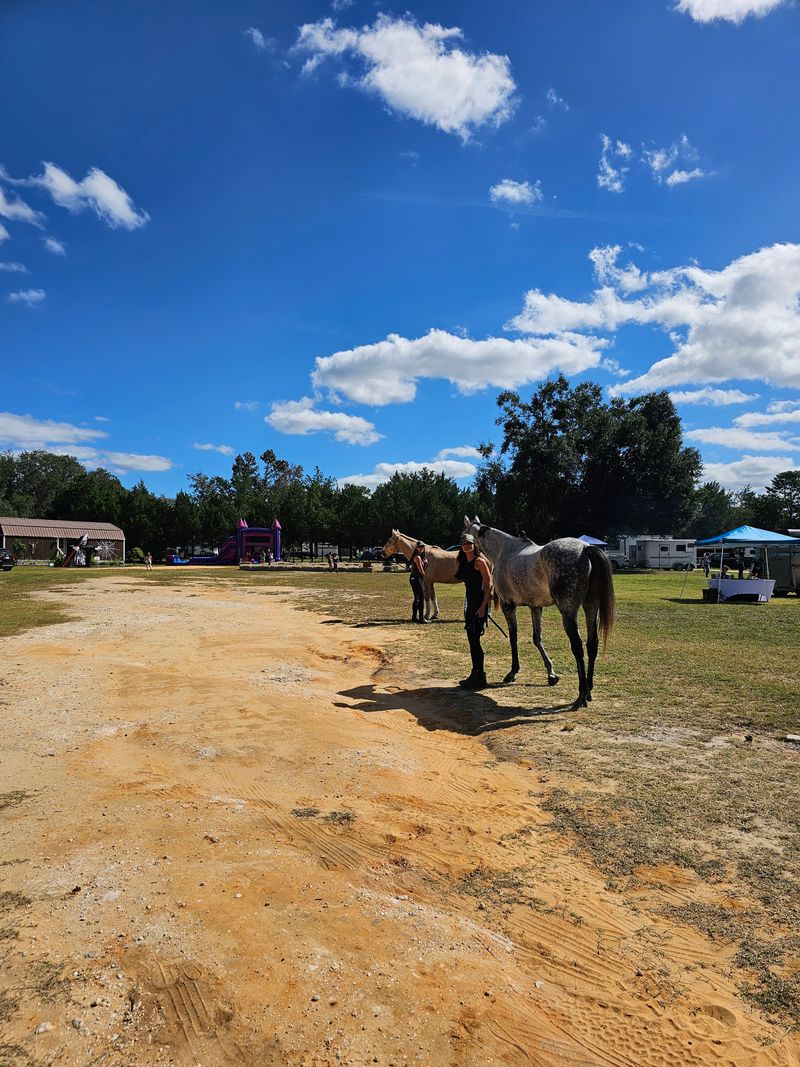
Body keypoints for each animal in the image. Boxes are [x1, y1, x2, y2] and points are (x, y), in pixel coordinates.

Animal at [463, 516, 615, 709]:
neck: (504, 550)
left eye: (463, 534)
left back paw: (581, 695)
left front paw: (512, 672)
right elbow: (537, 638)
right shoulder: (535, 607)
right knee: (591, 644)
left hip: (568, 613)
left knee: (578, 647)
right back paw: (589, 692)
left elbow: (513, 638)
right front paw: (551, 674)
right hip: (591, 608)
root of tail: (585, 548)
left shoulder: (508, 606)